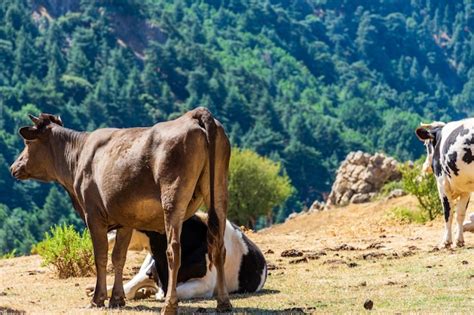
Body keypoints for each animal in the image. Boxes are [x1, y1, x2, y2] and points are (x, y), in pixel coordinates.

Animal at [10, 108, 232, 314]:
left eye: (28, 143)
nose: (13, 167)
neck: (76, 158)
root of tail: (195, 114)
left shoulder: (93, 215)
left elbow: (100, 256)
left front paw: (98, 299)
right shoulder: (125, 219)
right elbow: (119, 257)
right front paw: (117, 298)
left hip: (173, 194)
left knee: (174, 249)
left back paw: (169, 305)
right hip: (219, 190)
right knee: (219, 246)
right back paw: (223, 303)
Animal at [414, 119, 474, 248]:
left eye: (426, 144)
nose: (425, 166)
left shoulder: (442, 184)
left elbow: (448, 213)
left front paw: (446, 241)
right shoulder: (465, 189)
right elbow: (460, 214)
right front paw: (459, 241)